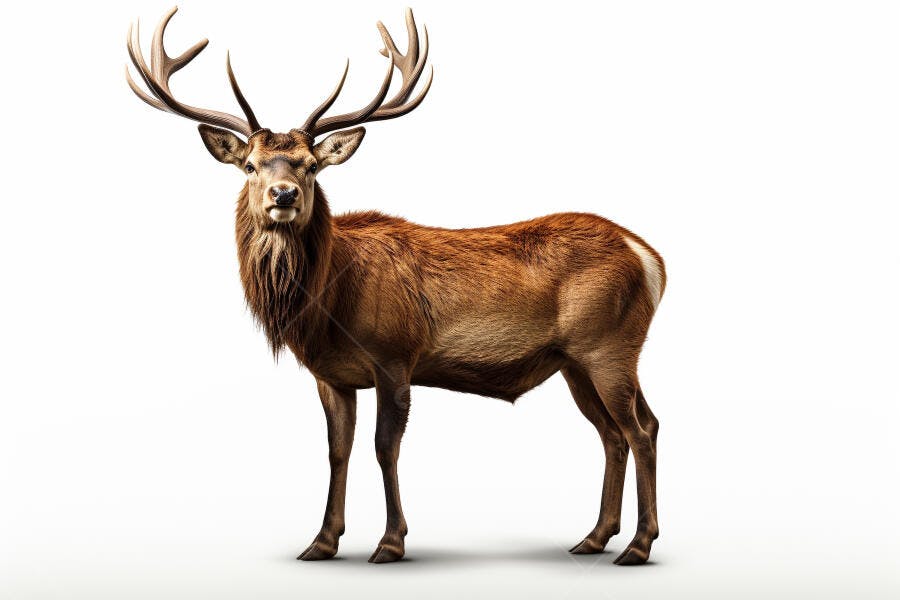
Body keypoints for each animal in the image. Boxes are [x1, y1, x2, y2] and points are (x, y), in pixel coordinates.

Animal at [126, 6, 666, 565]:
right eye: (250, 165)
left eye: (311, 165)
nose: (284, 194)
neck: (327, 304)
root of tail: (649, 257)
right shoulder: (332, 375)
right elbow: (336, 449)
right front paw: (321, 541)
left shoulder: (395, 355)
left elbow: (386, 448)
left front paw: (390, 541)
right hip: (574, 361)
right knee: (613, 434)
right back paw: (595, 537)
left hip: (609, 346)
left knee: (642, 428)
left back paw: (638, 545)